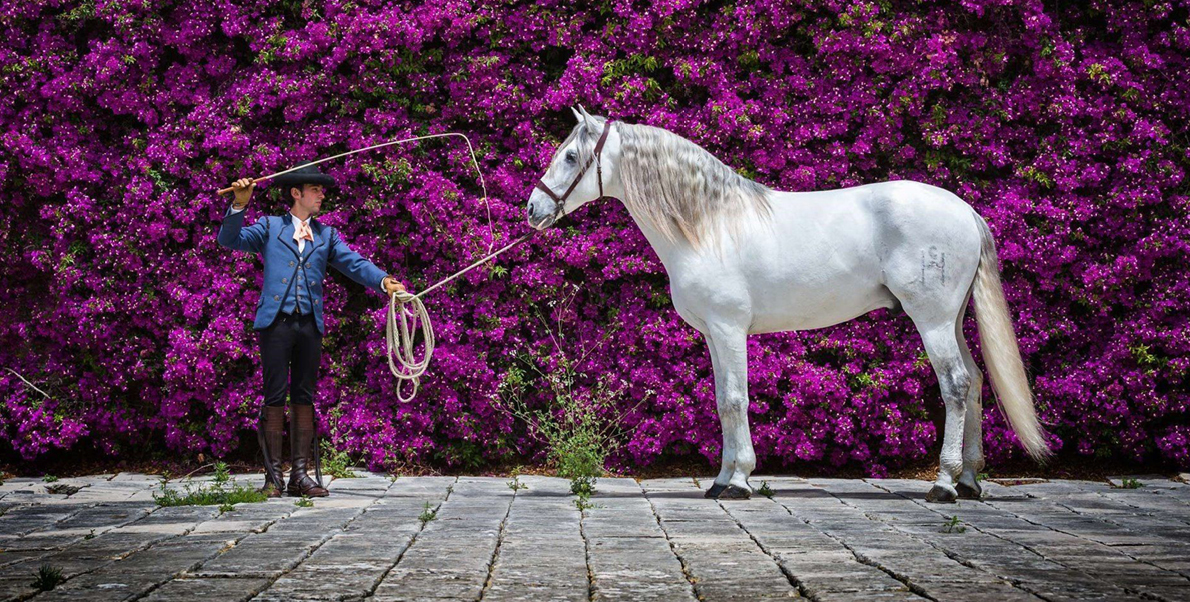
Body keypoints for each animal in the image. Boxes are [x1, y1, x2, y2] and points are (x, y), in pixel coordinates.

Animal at [530, 105, 1051, 502]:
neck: (708, 225)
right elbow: (722, 401)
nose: (533, 209)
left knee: (957, 385)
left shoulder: (729, 329)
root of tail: (965, 210)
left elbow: (735, 401)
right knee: (977, 380)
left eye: (571, 155)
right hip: (951, 320)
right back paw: (969, 480)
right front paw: (721, 480)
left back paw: (943, 484)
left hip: (933, 320)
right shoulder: (715, 335)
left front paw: (738, 480)